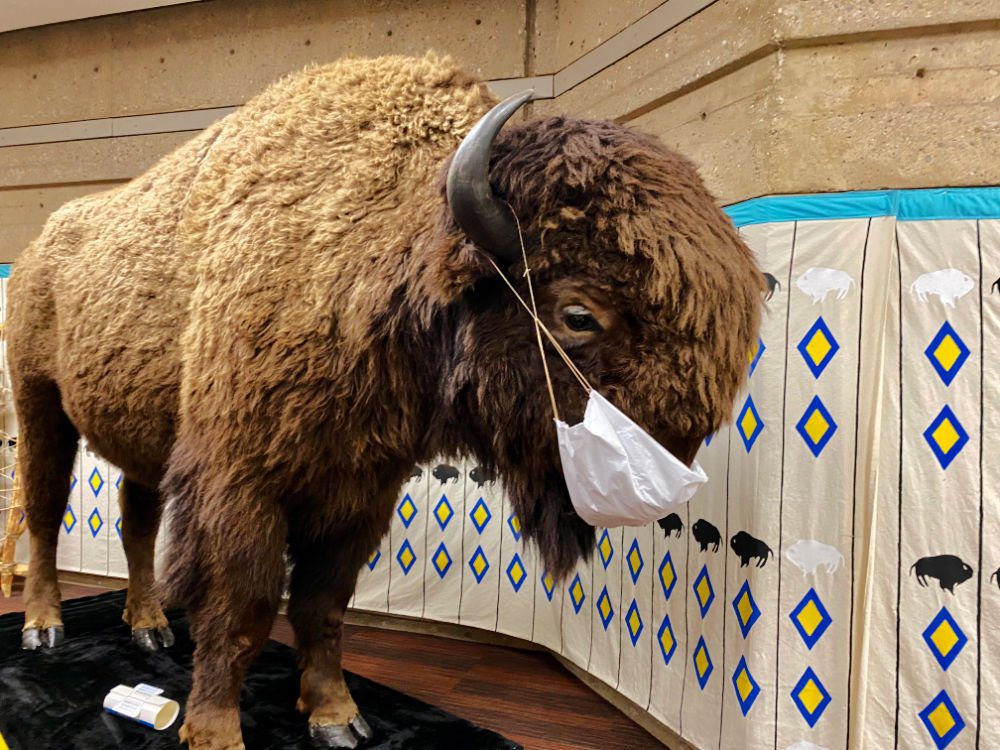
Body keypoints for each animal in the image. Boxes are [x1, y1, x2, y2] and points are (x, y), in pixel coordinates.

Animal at [8, 54, 762, 749]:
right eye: (579, 315)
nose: (670, 472)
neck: (372, 257)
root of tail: (42, 245)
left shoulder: (359, 491)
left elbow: (323, 605)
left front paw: (336, 717)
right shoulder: (239, 485)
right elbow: (242, 609)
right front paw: (216, 731)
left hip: (140, 437)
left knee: (136, 521)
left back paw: (148, 626)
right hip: (39, 403)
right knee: (44, 511)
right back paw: (44, 627)